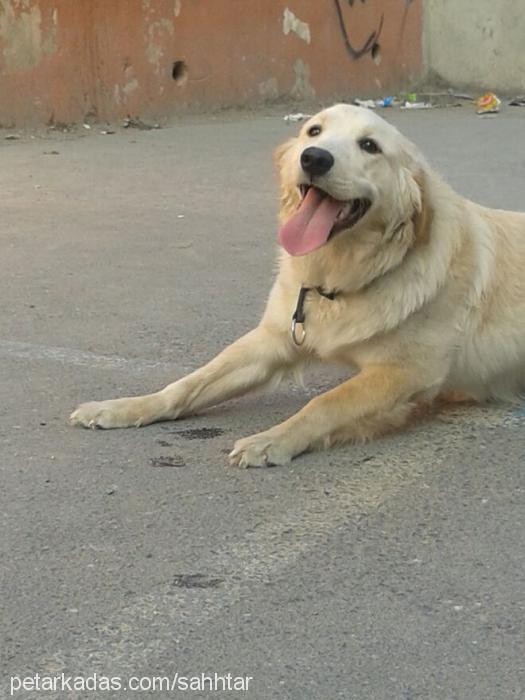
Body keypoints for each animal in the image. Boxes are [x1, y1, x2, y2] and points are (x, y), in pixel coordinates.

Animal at [71, 102, 524, 464]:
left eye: (370, 146)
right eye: (314, 130)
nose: (315, 158)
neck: (339, 280)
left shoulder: (405, 373)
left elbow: (325, 403)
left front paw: (273, 439)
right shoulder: (271, 340)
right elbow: (189, 383)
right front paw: (125, 407)